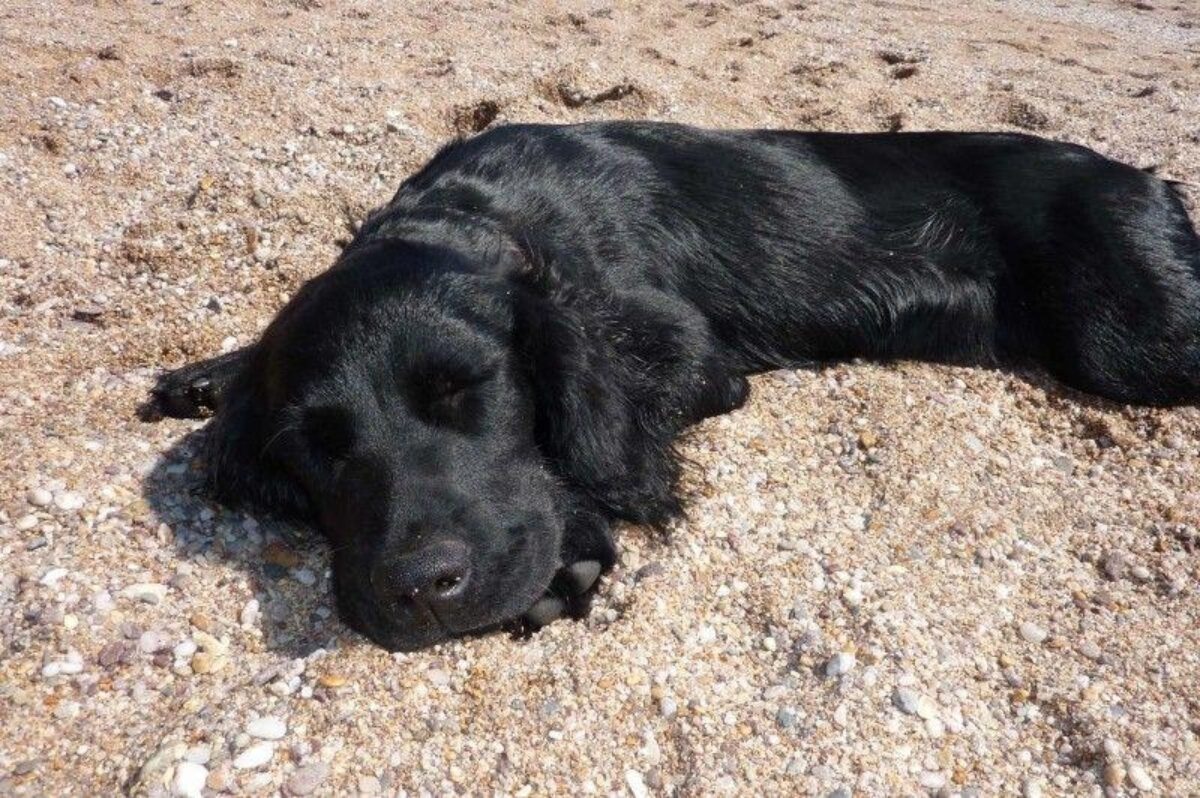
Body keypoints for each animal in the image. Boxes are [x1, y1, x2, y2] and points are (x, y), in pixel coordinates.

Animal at [150, 121, 1200, 652]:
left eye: (466, 390)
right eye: (313, 447)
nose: (421, 590)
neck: (487, 215)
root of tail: (1147, 177)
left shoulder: (692, 351)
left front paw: (570, 552)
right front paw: (209, 374)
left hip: (1133, 333)